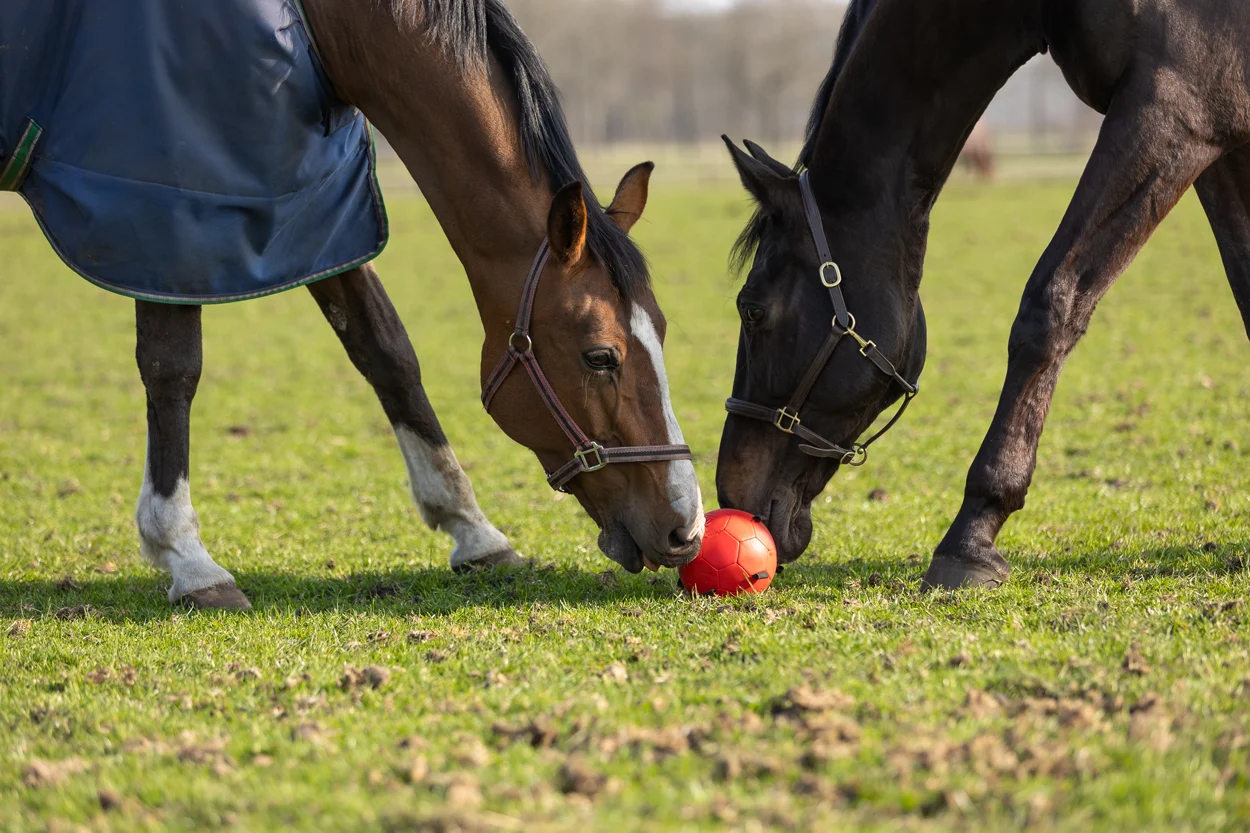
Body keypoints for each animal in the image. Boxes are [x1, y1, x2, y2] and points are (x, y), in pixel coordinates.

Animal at [1, 0, 703, 610]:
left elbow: (386, 350)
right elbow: (173, 368)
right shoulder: (171, 211)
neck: (314, 26)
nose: (686, 529)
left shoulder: (320, 210)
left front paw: (473, 530)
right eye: (600, 356)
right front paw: (187, 557)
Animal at [716, 0, 1250, 588]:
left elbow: (1050, 303)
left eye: (752, 310)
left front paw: (972, 533)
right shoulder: (1221, 136)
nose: (729, 492)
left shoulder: (1173, 108)